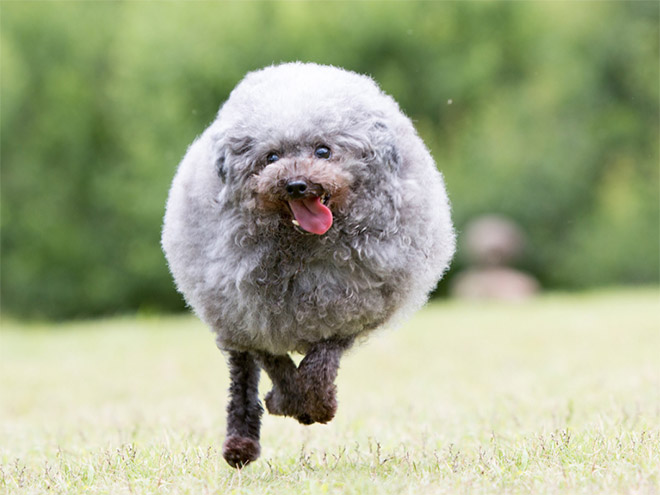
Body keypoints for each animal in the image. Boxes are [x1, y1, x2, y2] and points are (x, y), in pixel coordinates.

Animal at [162, 62, 456, 468]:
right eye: (271, 157)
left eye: (323, 150)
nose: (296, 184)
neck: (303, 244)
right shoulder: (253, 315)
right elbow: (276, 366)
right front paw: (286, 401)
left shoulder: (350, 309)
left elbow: (320, 366)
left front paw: (314, 405)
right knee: (241, 374)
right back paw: (241, 443)